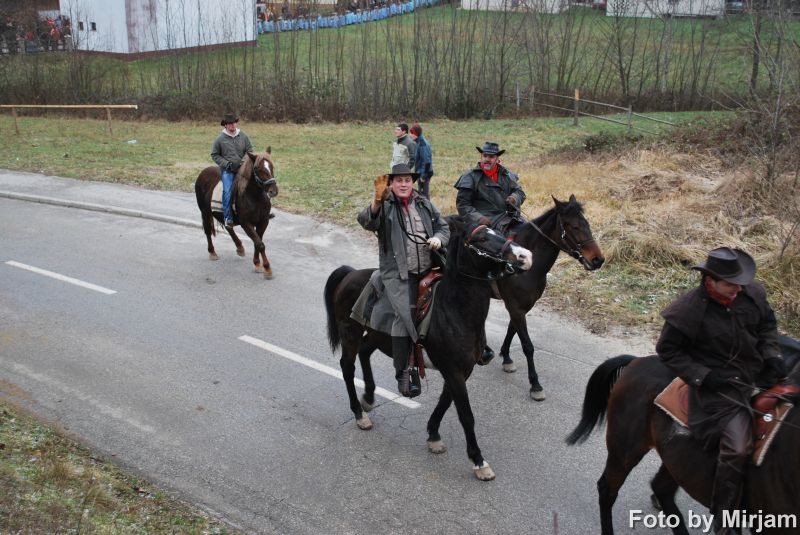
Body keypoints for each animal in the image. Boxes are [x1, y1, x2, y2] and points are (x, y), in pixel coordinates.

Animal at [195, 148, 280, 280]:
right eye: (257, 169)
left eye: (271, 166)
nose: (273, 191)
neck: (254, 197)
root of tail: (203, 172)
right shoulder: (246, 223)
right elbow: (260, 244)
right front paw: (267, 269)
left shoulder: (263, 221)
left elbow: (258, 241)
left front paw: (257, 264)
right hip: (205, 212)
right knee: (208, 231)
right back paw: (212, 252)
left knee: (228, 227)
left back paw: (239, 247)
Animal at [322, 218, 536, 482]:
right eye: (482, 239)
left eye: (498, 231)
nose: (525, 256)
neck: (454, 309)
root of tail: (350, 274)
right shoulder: (454, 371)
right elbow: (466, 415)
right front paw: (478, 460)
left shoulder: (460, 371)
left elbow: (445, 402)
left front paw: (433, 435)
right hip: (350, 332)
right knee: (347, 367)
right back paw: (360, 414)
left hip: (378, 337)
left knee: (364, 352)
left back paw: (369, 398)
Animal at [490, 195, 604, 400]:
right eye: (574, 226)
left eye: (587, 224)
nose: (598, 260)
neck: (526, 265)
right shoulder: (515, 307)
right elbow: (527, 345)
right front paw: (535, 384)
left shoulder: (521, 307)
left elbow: (512, 330)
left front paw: (507, 357)